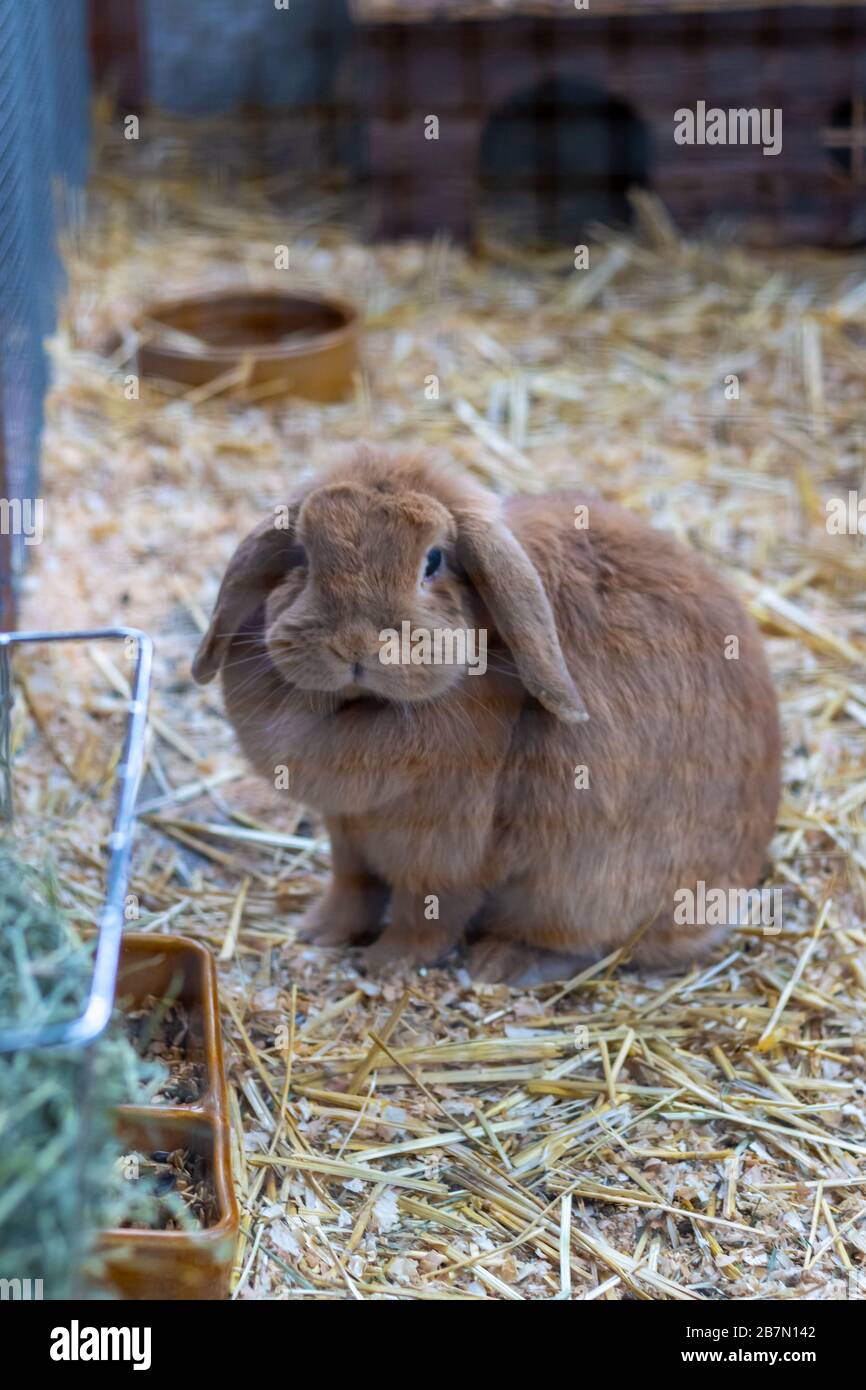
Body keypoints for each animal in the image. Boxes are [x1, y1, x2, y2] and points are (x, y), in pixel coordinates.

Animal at [194, 450, 783, 984]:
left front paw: (388, 964)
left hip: (578, 891)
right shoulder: (348, 834)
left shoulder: (448, 848)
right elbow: (352, 888)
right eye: (304, 554)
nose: (354, 644)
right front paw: (317, 932)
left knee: (585, 945)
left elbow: (427, 913)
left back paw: (503, 965)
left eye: (433, 560)